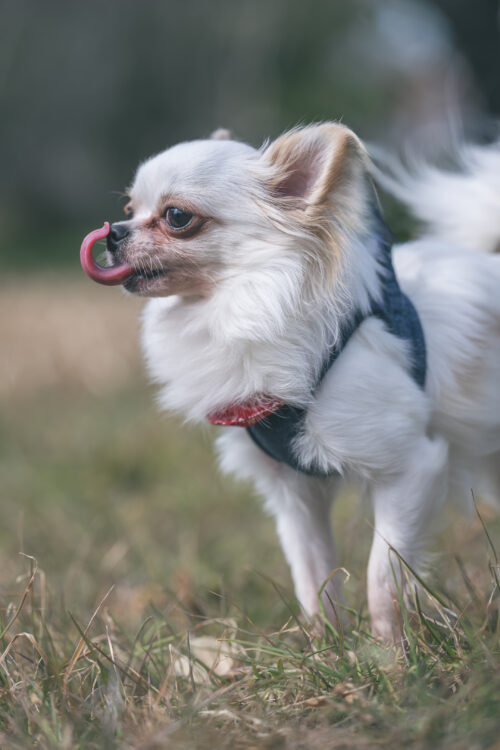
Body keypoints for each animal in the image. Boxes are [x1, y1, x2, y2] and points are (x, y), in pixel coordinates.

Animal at [82, 123, 500, 640]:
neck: (234, 308)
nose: (112, 233)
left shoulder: (411, 469)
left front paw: (390, 652)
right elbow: (313, 577)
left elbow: (381, 576)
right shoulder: (293, 494)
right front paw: (328, 647)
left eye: (177, 216)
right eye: (128, 211)